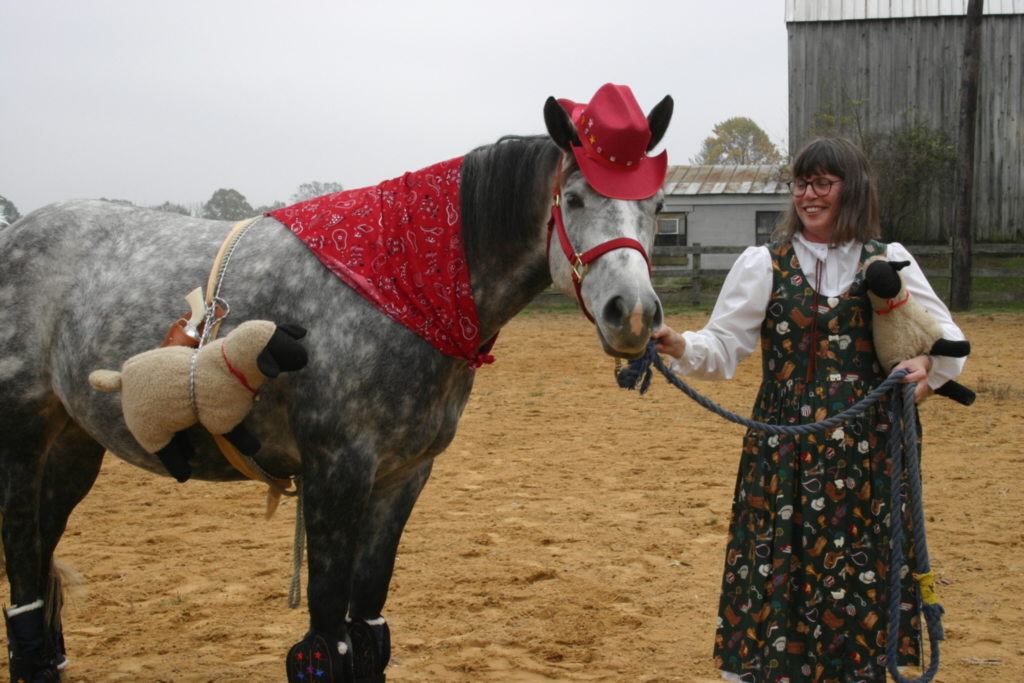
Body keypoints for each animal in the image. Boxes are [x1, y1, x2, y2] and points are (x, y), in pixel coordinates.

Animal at [0, 92, 672, 681]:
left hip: (75, 442)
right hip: (23, 435)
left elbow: (368, 627)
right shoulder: (336, 470)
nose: (634, 314)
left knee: (42, 552)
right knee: (23, 573)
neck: (398, 285)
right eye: (575, 198)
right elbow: (327, 640)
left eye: (659, 206)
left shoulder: (403, 476)